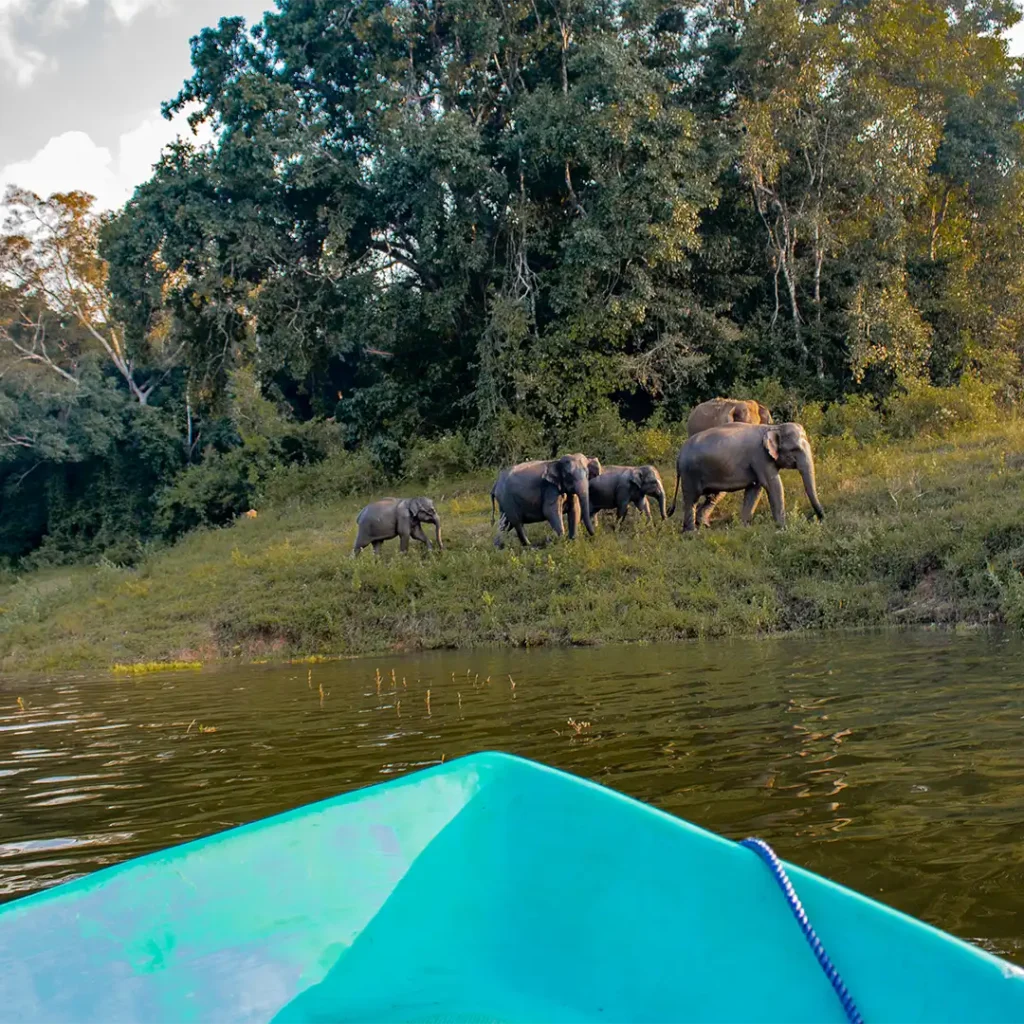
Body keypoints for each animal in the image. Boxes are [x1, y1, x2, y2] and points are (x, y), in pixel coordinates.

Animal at [663, 423, 823, 536]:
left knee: (714, 495)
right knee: (691, 498)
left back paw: (703, 525)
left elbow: (755, 489)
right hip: (690, 473)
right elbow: (772, 484)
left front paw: (744, 528)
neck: (773, 427)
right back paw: (692, 533)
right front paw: (783, 528)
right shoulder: (760, 456)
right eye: (795, 450)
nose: (821, 519)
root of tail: (679, 454)